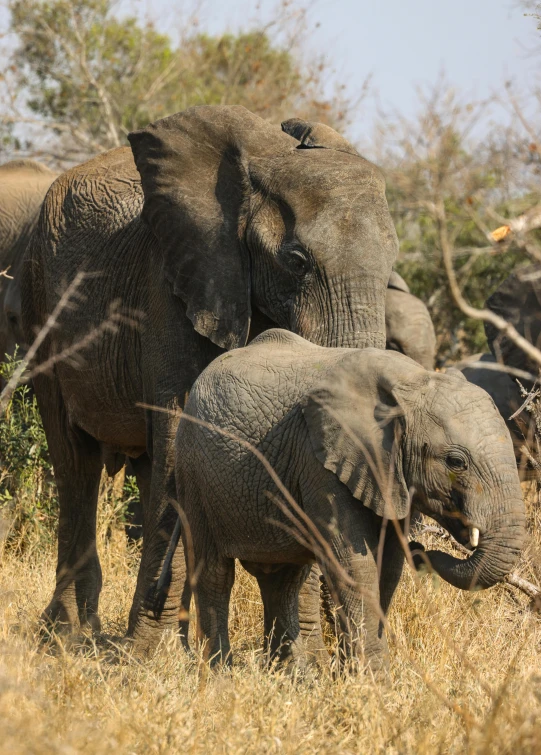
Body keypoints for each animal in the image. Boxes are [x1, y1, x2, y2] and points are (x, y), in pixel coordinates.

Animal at [22, 105, 396, 648]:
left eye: (393, 269)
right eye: (296, 261)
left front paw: (298, 657)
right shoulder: (172, 284)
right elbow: (182, 429)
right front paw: (145, 656)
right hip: (39, 297)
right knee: (75, 460)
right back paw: (69, 633)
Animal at [172, 330, 524, 672]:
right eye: (455, 462)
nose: (421, 550)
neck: (412, 382)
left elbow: (388, 565)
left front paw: (359, 674)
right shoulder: (321, 462)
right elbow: (354, 563)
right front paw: (373, 679)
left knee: (282, 579)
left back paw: (292, 678)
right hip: (194, 472)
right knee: (215, 573)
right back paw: (220, 676)